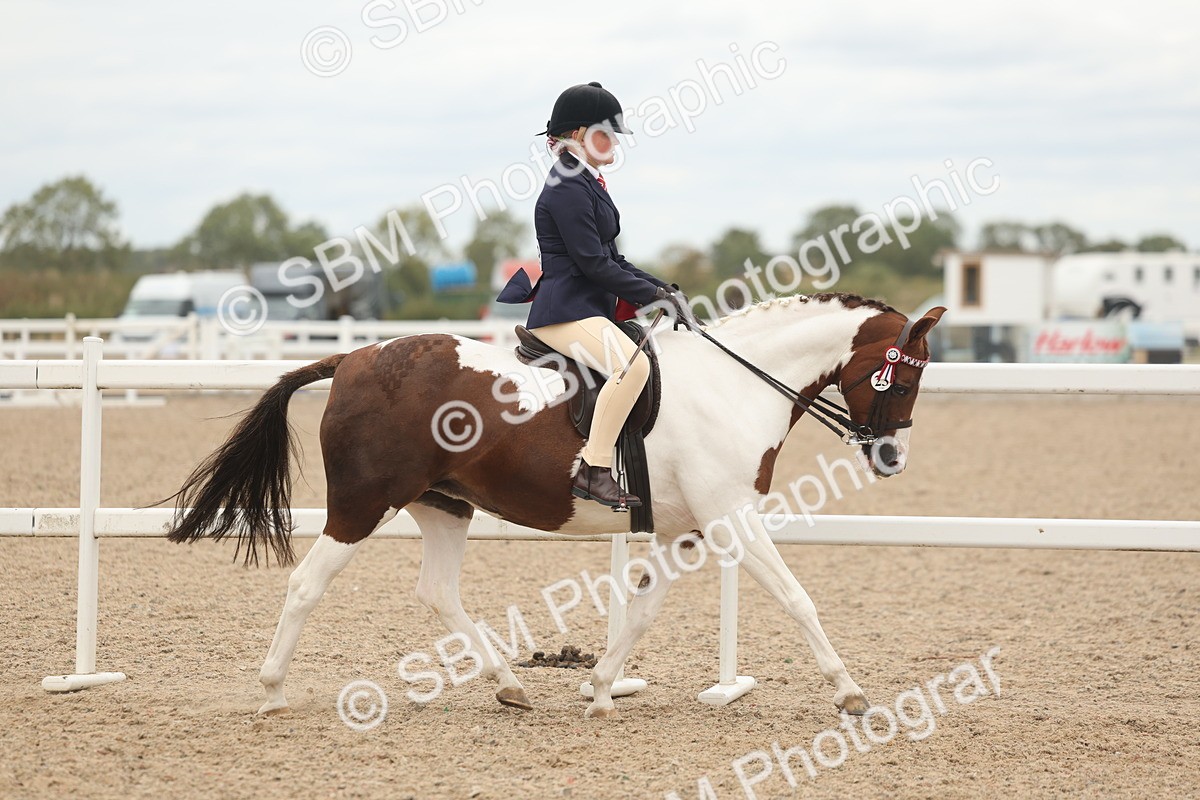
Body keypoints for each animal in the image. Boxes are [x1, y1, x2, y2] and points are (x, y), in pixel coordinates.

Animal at [166, 292, 945, 719]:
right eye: (903, 380)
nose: (892, 458)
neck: (736, 383)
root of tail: (353, 358)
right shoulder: (731, 519)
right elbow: (796, 598)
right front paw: (849, 693)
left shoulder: (685, 531)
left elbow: (643, 611)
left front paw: (598, 689)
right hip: (364, 503)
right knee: (306, 583)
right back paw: (271, 691)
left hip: (443, 505)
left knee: (438, 590)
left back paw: (510, 686)